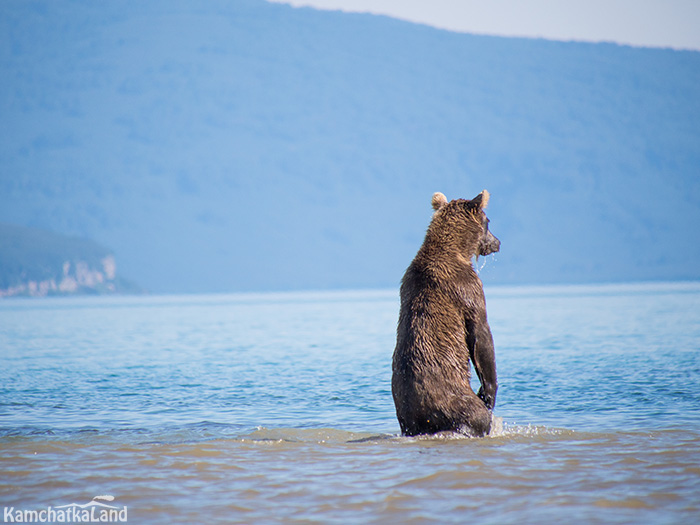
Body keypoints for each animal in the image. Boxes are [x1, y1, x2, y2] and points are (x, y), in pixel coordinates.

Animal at [392, 190, 500, 436]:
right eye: (488, 221)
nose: (497, 242)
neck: (457, 250)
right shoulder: (468, 288)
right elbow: (481, 336)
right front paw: (488, 393)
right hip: (455, 400)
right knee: (476, 417)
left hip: (406, 416)